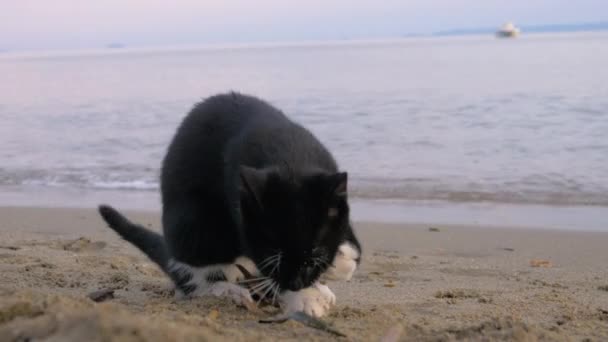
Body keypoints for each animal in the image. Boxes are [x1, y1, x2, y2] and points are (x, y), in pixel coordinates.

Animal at [97, 91, 358, 318]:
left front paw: (341, 259)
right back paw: (229, 291)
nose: (296, 284)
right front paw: (304, 298)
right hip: (197, 225)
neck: (291, 160)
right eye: (271, 255)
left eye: (315, 254)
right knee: (195, 278)